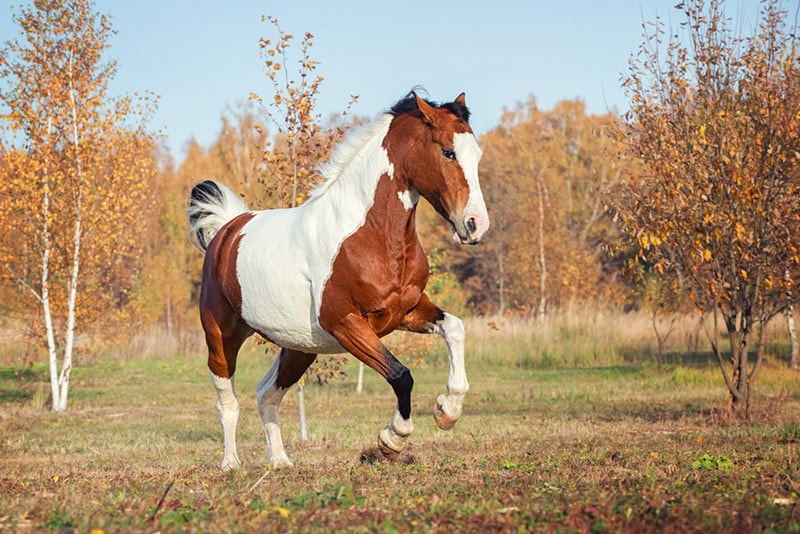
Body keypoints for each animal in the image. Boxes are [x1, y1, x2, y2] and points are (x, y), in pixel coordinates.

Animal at [187, 92, 489, 470]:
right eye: (448, 152)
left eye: (476, 153)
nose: (476, 225)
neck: (367, 234)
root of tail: (228, 229)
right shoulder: (346, 324)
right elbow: (401, 374)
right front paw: (392, 440)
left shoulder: (405, 312)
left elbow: (455, 328)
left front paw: (447, 410)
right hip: (221, 336)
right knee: (227, 401)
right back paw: (231, 464)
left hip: (299, 348)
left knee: (266, 394)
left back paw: (281, 461)